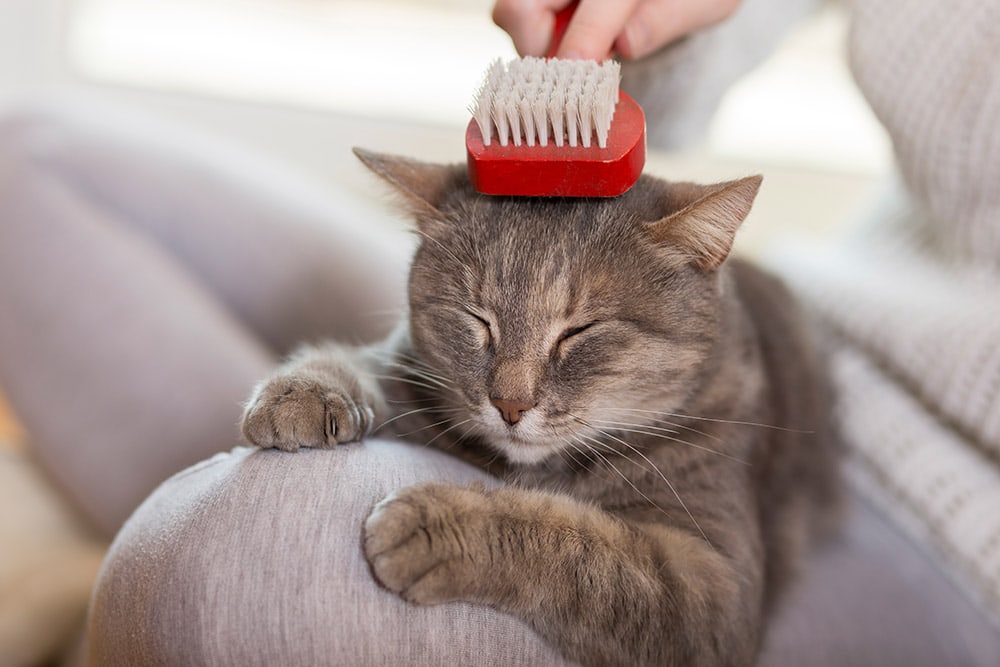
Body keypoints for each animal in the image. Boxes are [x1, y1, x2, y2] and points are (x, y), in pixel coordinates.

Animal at [238, 151, 840, 667]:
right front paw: (303, 391)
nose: (509, 403)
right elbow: (354, 361)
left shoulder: (712, 587)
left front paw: (440, 523)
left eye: (580, 331)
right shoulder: (409, 370)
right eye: (476, 318)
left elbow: (583, 549)